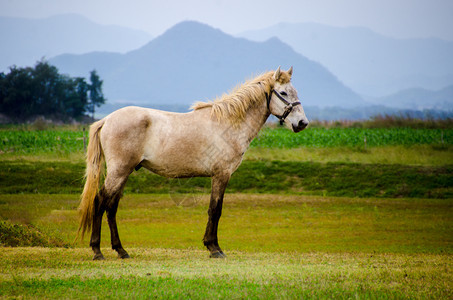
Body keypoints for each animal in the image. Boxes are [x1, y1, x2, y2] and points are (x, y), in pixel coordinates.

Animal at [77, 67, 308, 258]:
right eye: (284, 93)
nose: (302, 123)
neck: (229, 124)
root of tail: (106, 120)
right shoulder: (221, 175)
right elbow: (215, 209)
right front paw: (214, 248)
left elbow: (214, 209)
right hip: (119, 171)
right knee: (100, 202)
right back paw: (97, 251)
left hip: (124, 173)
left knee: (111, 207)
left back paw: (121, 250)